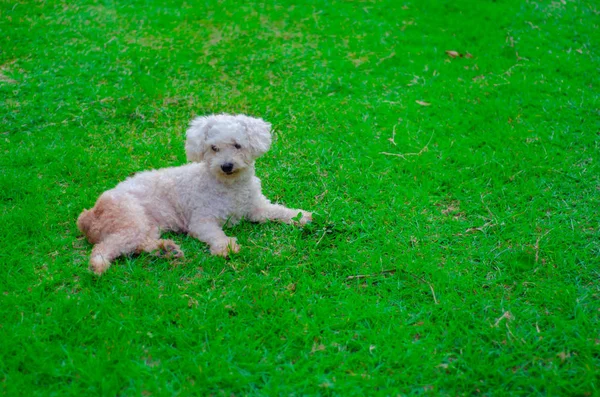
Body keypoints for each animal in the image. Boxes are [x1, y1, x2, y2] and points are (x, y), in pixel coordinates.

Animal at [78, 114, 314, 274]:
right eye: (213, 148)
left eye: (237, 145)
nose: (226, 166)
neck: (230, 186)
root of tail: (89, 215)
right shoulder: (201, 221)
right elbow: (215, 233)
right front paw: (225, 246)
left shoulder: (256, 207)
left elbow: (277, 210)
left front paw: (299, 216)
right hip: (129, 219)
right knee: (105, 246)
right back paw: (98, 264)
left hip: (146, 225)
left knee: (138, 245)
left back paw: (166, 250)